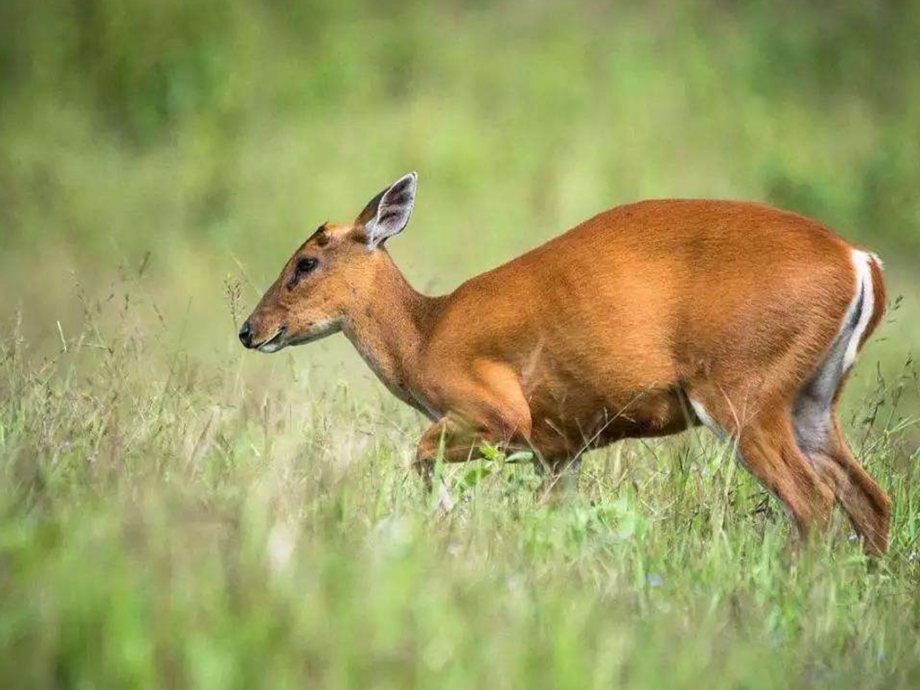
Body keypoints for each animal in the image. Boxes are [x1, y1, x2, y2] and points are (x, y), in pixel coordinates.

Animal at [239, 171, 892, 552]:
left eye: (305, 263)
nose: (249, 330)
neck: (424, 337)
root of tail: (860, 261)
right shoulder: (559, 448)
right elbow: (554, 516)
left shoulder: (498, 412)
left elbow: (419, 455)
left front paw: (446, 521)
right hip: (812, 397)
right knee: (870, 499)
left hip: (743, 387)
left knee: (813, 502)